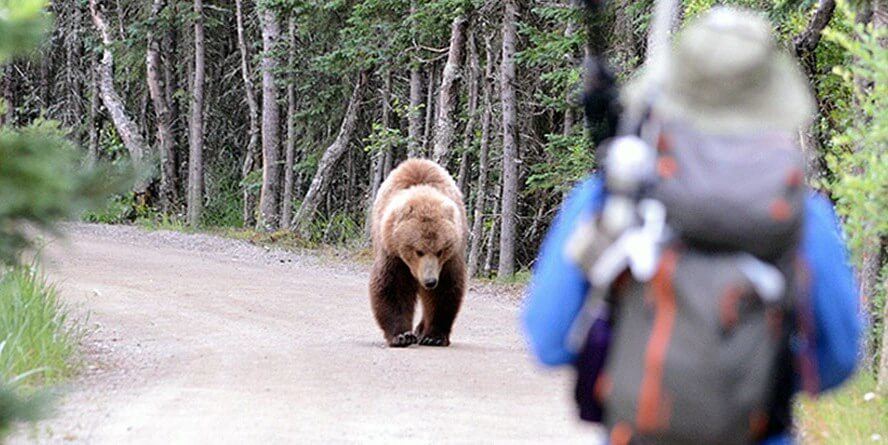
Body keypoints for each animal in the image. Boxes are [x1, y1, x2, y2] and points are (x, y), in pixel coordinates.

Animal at [368, 159, 468, 346]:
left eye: (440, 250)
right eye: (418, 251)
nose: (430, 281)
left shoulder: (449, 259)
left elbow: (443, 290)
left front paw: (433, 336)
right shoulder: (393, 253)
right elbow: (393, 287)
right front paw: (401, 336)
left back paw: (421, 330)